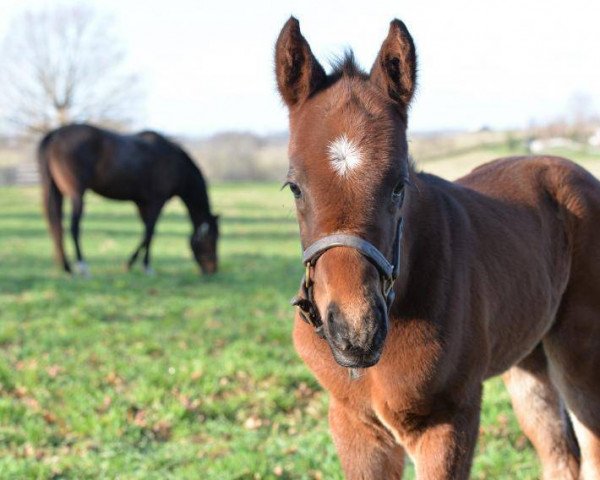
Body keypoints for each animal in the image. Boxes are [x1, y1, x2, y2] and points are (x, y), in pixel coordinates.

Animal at [36, 122, 218, 276]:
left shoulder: (141, 203)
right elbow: (150, 232)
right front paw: (143, 266)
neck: (175, 164)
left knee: (56, 225)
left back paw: (65, 266)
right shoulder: (157, 202)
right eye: (212, 239)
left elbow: (146, 232)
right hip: (76, 195)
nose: (213, 270)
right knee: (73, 227)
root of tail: (55, 134)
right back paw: (82, 267)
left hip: (56, 192)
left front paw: (134, 264)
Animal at [276, 15, 600, 480]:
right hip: (528, 359)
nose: (356, 334)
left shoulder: (447, 420)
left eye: (399, 185)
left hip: (579, 353)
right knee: (559, 456)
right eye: (295, 187)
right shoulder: (354, 424)